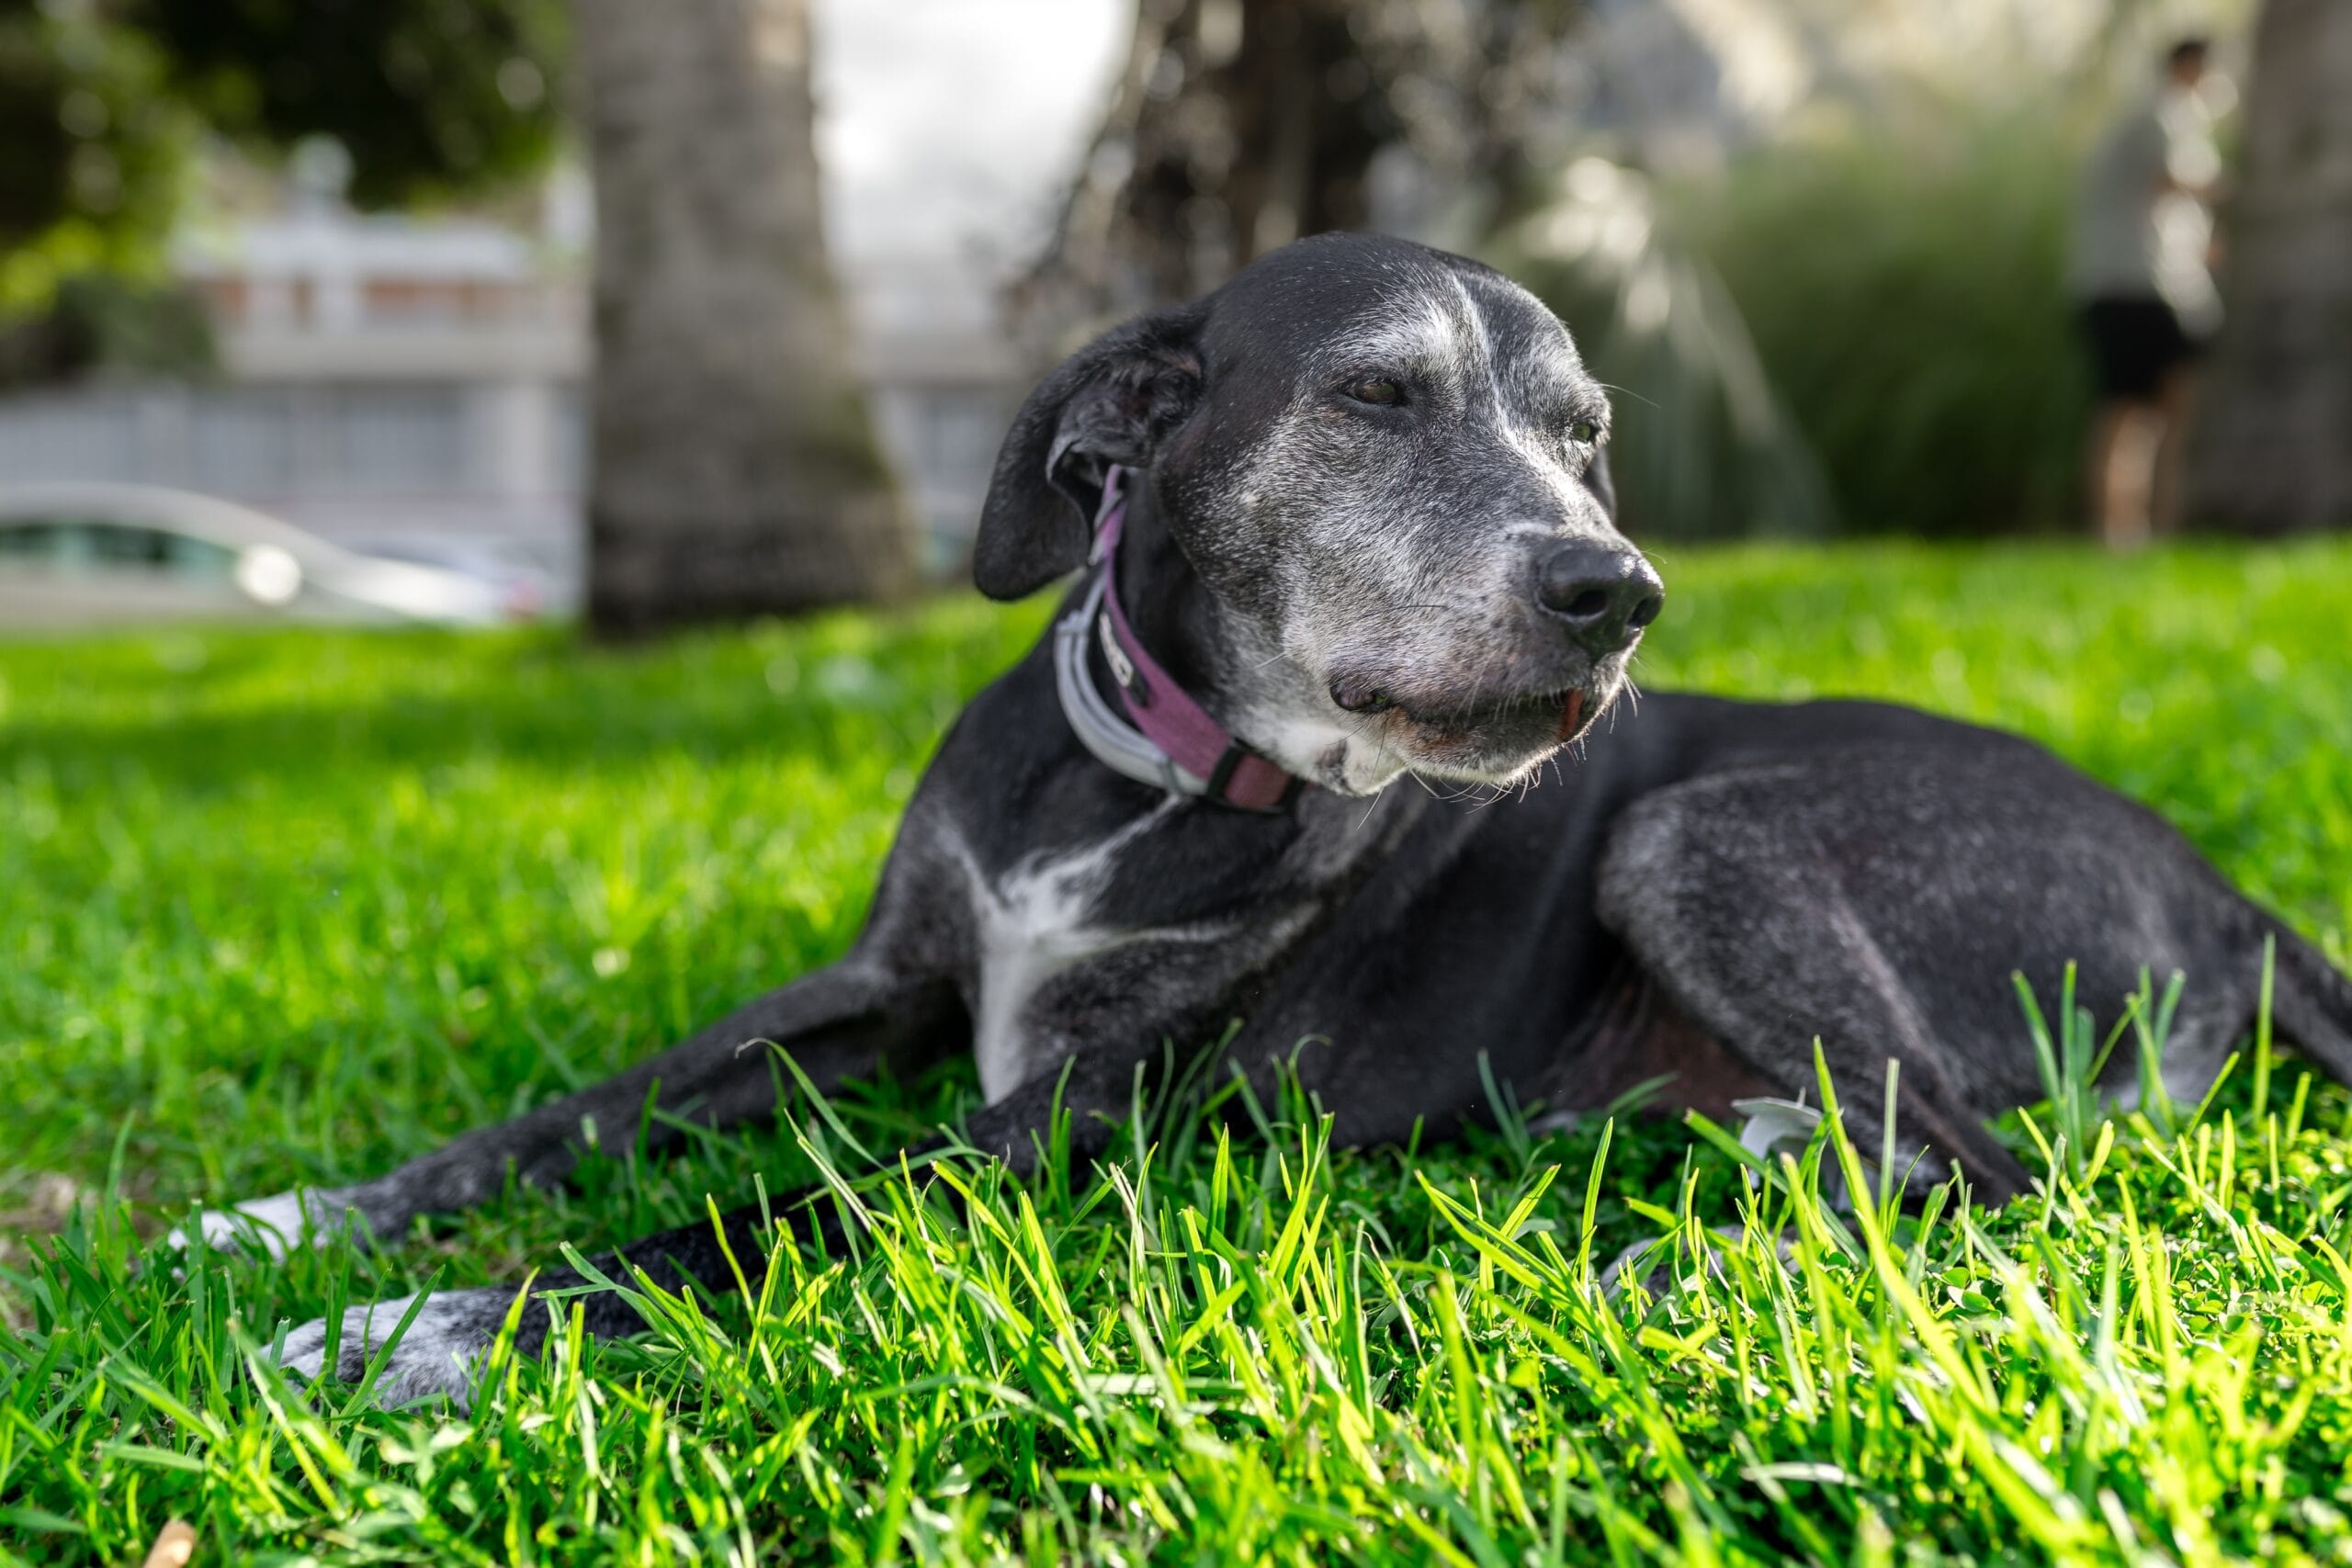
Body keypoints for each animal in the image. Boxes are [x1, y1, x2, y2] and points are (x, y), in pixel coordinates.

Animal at [187, 232, 2352, 1410]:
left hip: (1700, 834)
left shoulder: (1074, 1119)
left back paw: (1662, 1271)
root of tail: (2223, 885)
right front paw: (300, 1215)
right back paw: (1732, 1161)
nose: (1618, 590)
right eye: (1378, 398)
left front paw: (426, 1329)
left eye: (1584, 437)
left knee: (1999, 1175)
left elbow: (750, 1215)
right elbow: (572, 1113)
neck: (1135, 779)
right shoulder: (879, 985)